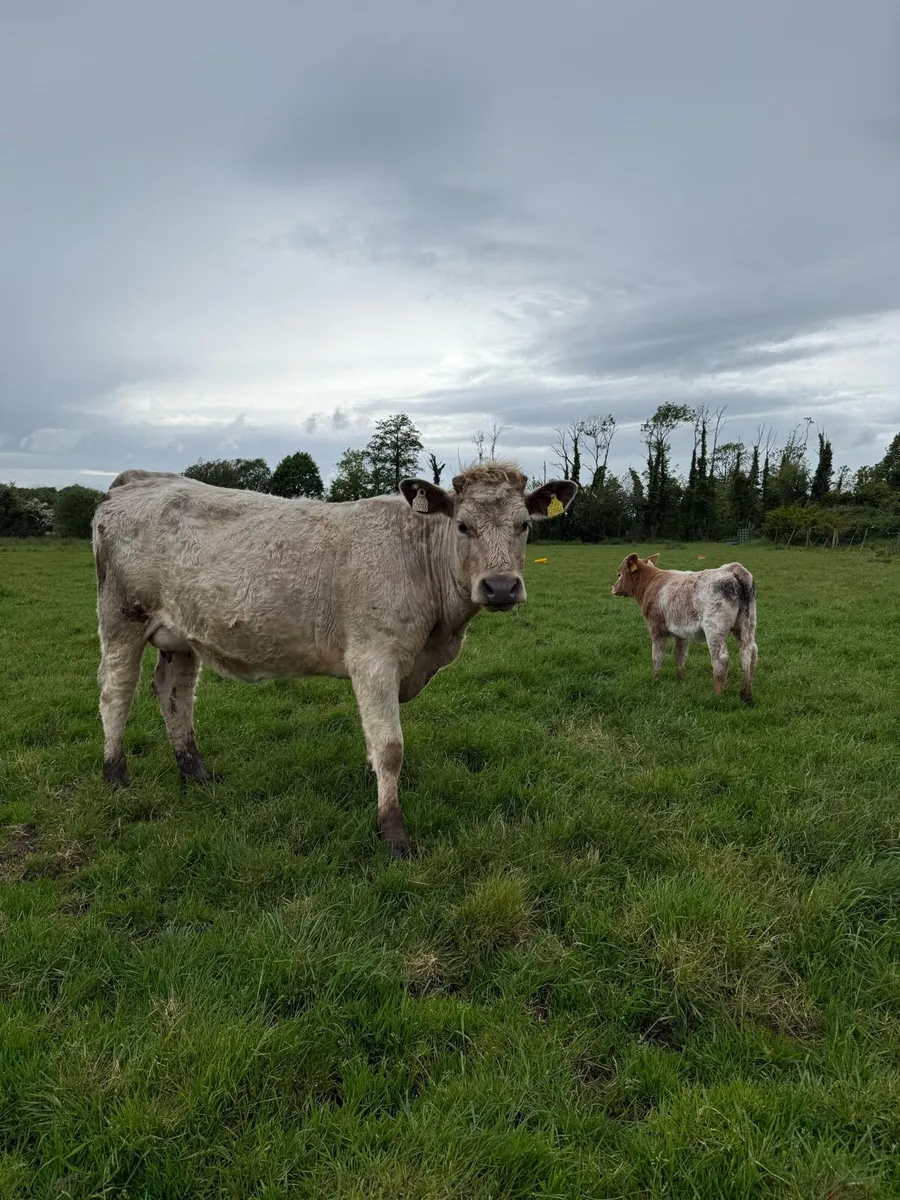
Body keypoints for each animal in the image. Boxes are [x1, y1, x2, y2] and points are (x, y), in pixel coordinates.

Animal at [92, 464, 578, 856]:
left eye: (523, 525)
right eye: (462, 526)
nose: (501, 587)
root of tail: (140, 480)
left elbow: (374, 737)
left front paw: (372, 779)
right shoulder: (375, 657)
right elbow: (391, 747)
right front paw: (393, 831)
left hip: (180, 636)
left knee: (174, 695)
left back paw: (195, 772)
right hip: (121, 617)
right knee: (116, 692)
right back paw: (115, 775)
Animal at [611, 553, 758, 704]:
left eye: (619, 574)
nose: (613, 588)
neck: (650, 583)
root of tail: (732, 569)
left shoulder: (656, 628)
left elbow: (657, 655)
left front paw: (655, 678)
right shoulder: (682, 631)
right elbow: (680, 654)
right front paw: (681, 678)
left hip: (714, 628)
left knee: (721, 658)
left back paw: (718, 695)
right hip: (747, 624)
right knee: (749, 653)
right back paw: (746, 694)